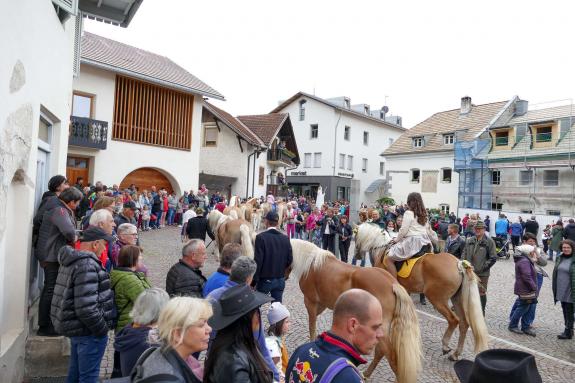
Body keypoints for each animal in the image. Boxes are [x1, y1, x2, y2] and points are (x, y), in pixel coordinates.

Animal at [290, 240, 420, 380]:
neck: (311, 263)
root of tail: (393, 283)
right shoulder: (321, 304)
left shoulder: (310, 302)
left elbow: (312, 328)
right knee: (381, 351)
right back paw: (366, 374)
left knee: (391, 357)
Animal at [358, 224, 488, 362]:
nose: (358, 255)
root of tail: (459, 264)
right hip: (456, 299)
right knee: (464, 323)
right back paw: (455, 354)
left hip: (437, 298)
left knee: (453, 320)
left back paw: (445, 346)